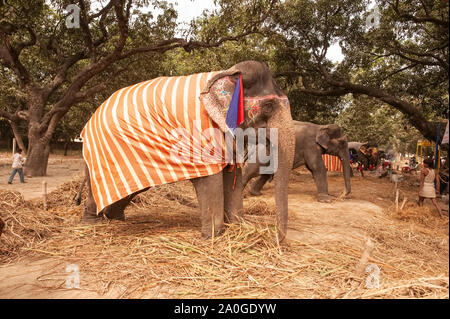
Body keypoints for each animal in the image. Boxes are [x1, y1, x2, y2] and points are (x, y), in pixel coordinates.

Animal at [78, 61, 296, 242]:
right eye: (268, 106)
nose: (273, 238)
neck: (228, 72)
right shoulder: (201, 134)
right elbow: (210, 181)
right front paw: (212, 238)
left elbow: (231, 175)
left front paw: (238, 228)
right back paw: (91, 223)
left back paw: (115, 218)